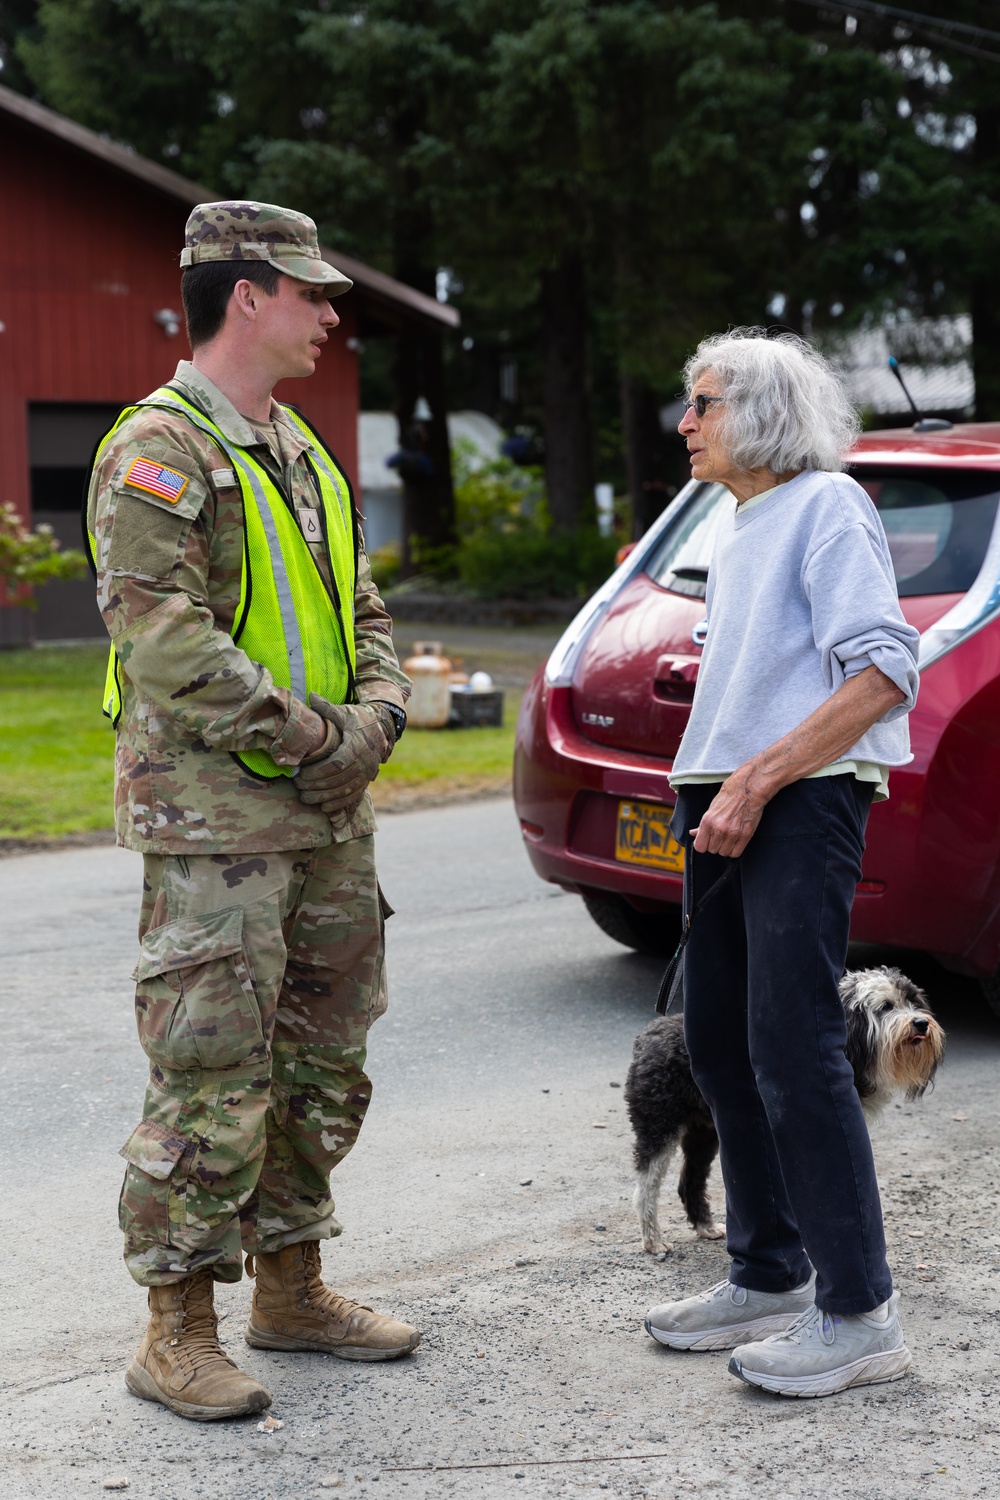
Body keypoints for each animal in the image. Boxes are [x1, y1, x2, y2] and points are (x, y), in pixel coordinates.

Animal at [626, 960, 947, 1254]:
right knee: (645, 1187)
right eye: (886, 1006)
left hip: (705, 1133)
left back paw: (704, 1226)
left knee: (689, 1181)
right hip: (659, 1126)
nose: (921, 1023)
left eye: (913, 1001)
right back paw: (652, 1239)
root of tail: (651, 1031)